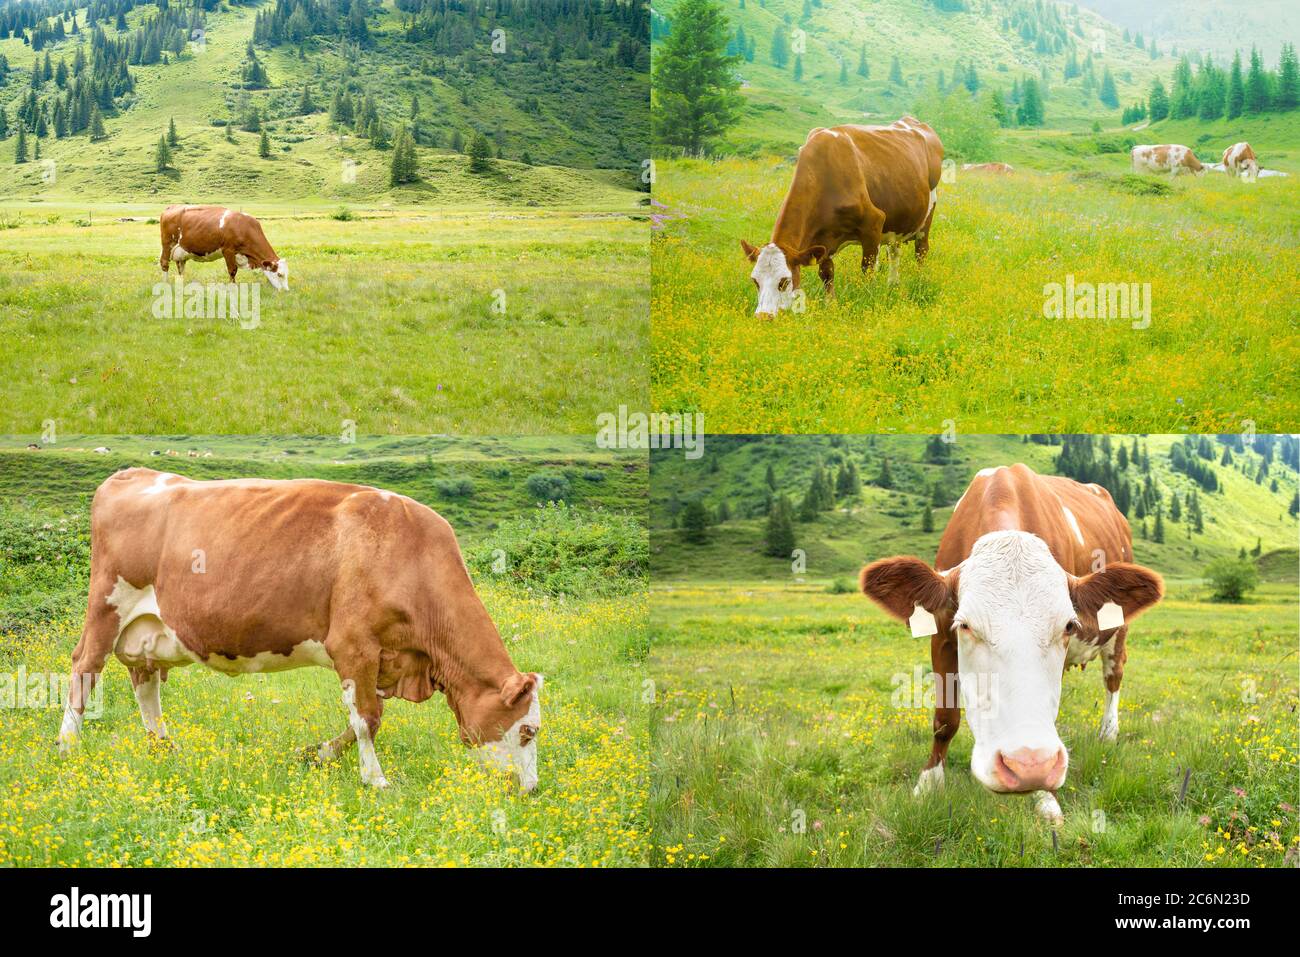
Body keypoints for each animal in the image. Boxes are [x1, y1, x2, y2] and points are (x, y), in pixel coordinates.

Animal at [58, 468, 546, 790]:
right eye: (527, 730)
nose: (531, 790)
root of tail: (133, 473)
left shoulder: (383, 658)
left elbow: (364, 719)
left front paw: (315, 755)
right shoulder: (353, 645)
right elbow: (368, 719)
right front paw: (376, 781)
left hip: (147, 631)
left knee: (144, 681)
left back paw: (163, 748)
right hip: (107, 605)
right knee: (84, 668)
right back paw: (68, 746)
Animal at [158, 204, 288, 289]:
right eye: (279, 274)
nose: (285, 291)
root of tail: (172, 207)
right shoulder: (228, 250)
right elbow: (232, 270)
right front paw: (232, 287)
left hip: (181, 250)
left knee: (181, 266)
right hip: (168, 244)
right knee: (164, 263)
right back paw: (165, 284)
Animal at [743, 113, 946, 312]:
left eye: (784, 281)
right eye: (755, 281)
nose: (763, 316)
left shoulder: (874, 223)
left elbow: (867, 269)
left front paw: (867, 299)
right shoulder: (823, 239)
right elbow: (826, 273)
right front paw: (830, 304)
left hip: (928, 213)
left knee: (921, 251)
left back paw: (919, 280)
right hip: (897, 222)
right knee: (894, 251)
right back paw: (892, 285)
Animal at [857, 462, 1164, 821]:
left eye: (1068, 626)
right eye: (965, 626)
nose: (1028, 766)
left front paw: (1045, 797)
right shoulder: (941, 634)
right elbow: (944, 719)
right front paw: (928, 785)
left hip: (1119, 628)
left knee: (1113, 675)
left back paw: (1108, 732)